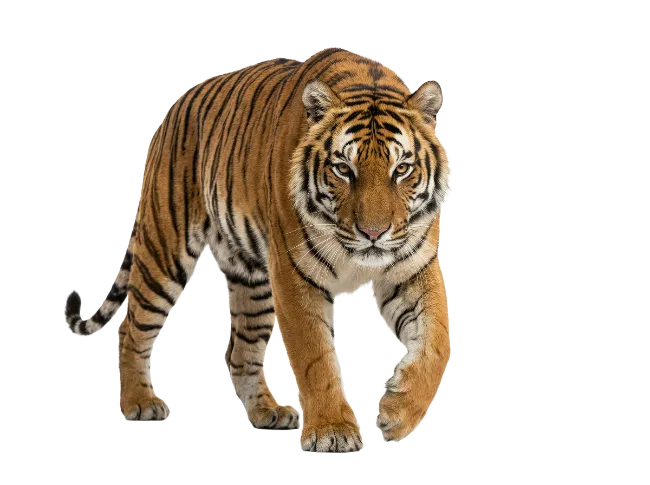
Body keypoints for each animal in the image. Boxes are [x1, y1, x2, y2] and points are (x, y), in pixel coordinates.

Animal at [63, 46, 452, 452]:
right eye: (344, 169)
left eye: (402, 169)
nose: (373, 232)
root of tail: (174, 107)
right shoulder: (296, 275)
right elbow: (315, 356)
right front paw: (333, 430)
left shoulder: (413, 267)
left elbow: (439, 342)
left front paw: (398, 413)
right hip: (165, 249)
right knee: (131, 328)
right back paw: (139, 403)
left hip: (252, 278)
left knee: (239, 351)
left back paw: (268, 413)